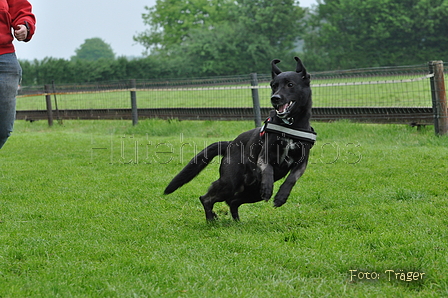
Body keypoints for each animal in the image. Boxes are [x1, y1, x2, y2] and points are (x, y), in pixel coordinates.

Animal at [164, 57, 316, 220]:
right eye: (274, 86)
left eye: (290, 84)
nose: (274, 98)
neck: (290, 125)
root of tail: (230, 144)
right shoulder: (264, 156)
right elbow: (268, 169)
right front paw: (268, 187)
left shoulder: (301, 163)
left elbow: (292, 178)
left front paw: (281, 197)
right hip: (230, 182)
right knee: (206, 198)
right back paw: (211, 219)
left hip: (252, 192)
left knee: (232, 201)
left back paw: (236, 221)